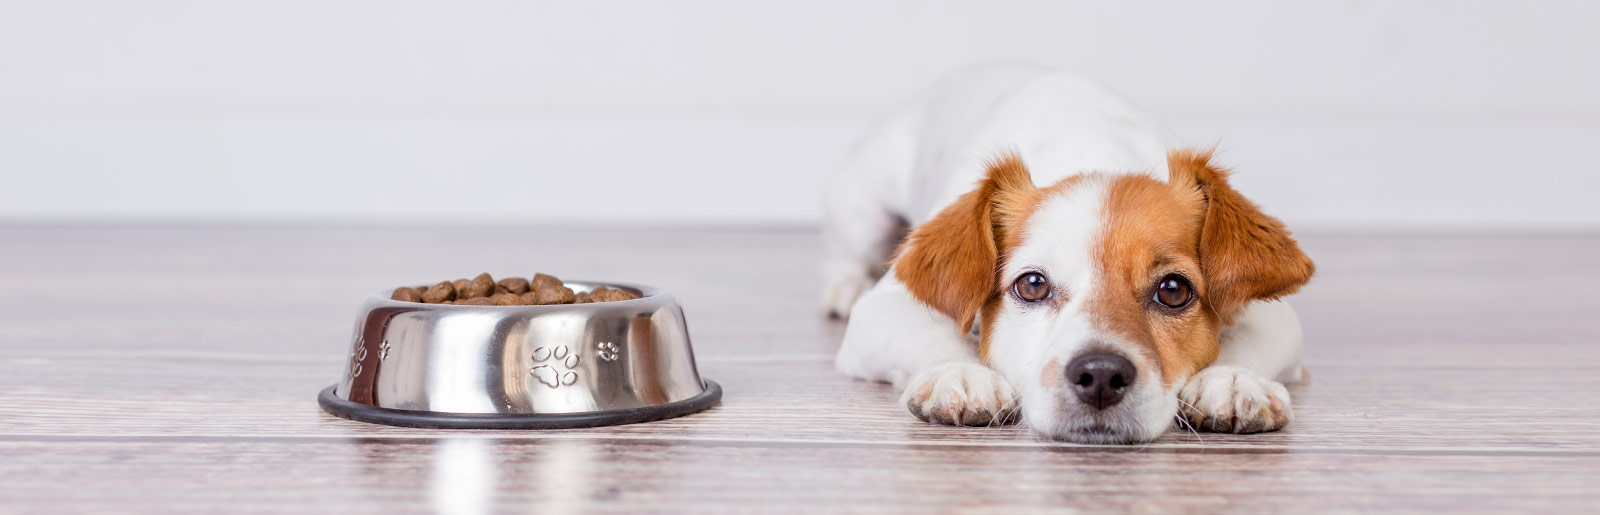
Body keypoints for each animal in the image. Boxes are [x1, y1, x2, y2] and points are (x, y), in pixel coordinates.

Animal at [825, 64, 1312, 441]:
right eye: (1032, 285)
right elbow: (931, 332)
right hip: (865, 212)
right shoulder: (885, 307)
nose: (1101, 376)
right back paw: (842, 287)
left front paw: (1231, 380)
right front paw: (958, 372)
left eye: (1174, 290)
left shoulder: (1271, 313)